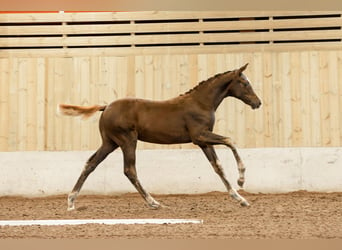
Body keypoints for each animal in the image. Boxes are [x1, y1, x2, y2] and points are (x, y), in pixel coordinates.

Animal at [58, 63, 262, 211]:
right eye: (245, 83)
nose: (257, 103)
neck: (201, 103)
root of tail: (106, 107)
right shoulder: (199, 136)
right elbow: (230, 141)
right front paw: (241, 180)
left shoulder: (204, 142)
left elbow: (218, 166)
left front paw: (240, 198)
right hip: (127, 141)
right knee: (129, 170)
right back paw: (153, 202)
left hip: (110, 143)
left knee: (90, 164)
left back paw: (71, 201)